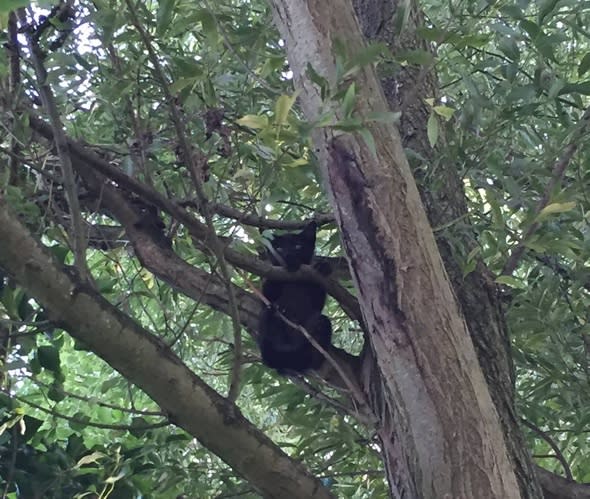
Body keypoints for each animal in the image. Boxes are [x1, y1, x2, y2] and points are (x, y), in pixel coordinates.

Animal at [260, 223, 332, 376]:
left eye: (298, 246)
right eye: (279, 248)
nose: (288, 255)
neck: (294, 282)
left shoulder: (317, 299)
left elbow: (317, 298)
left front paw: (323, 266)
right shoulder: (268, 284)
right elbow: (269, 292)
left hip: (321, 323)